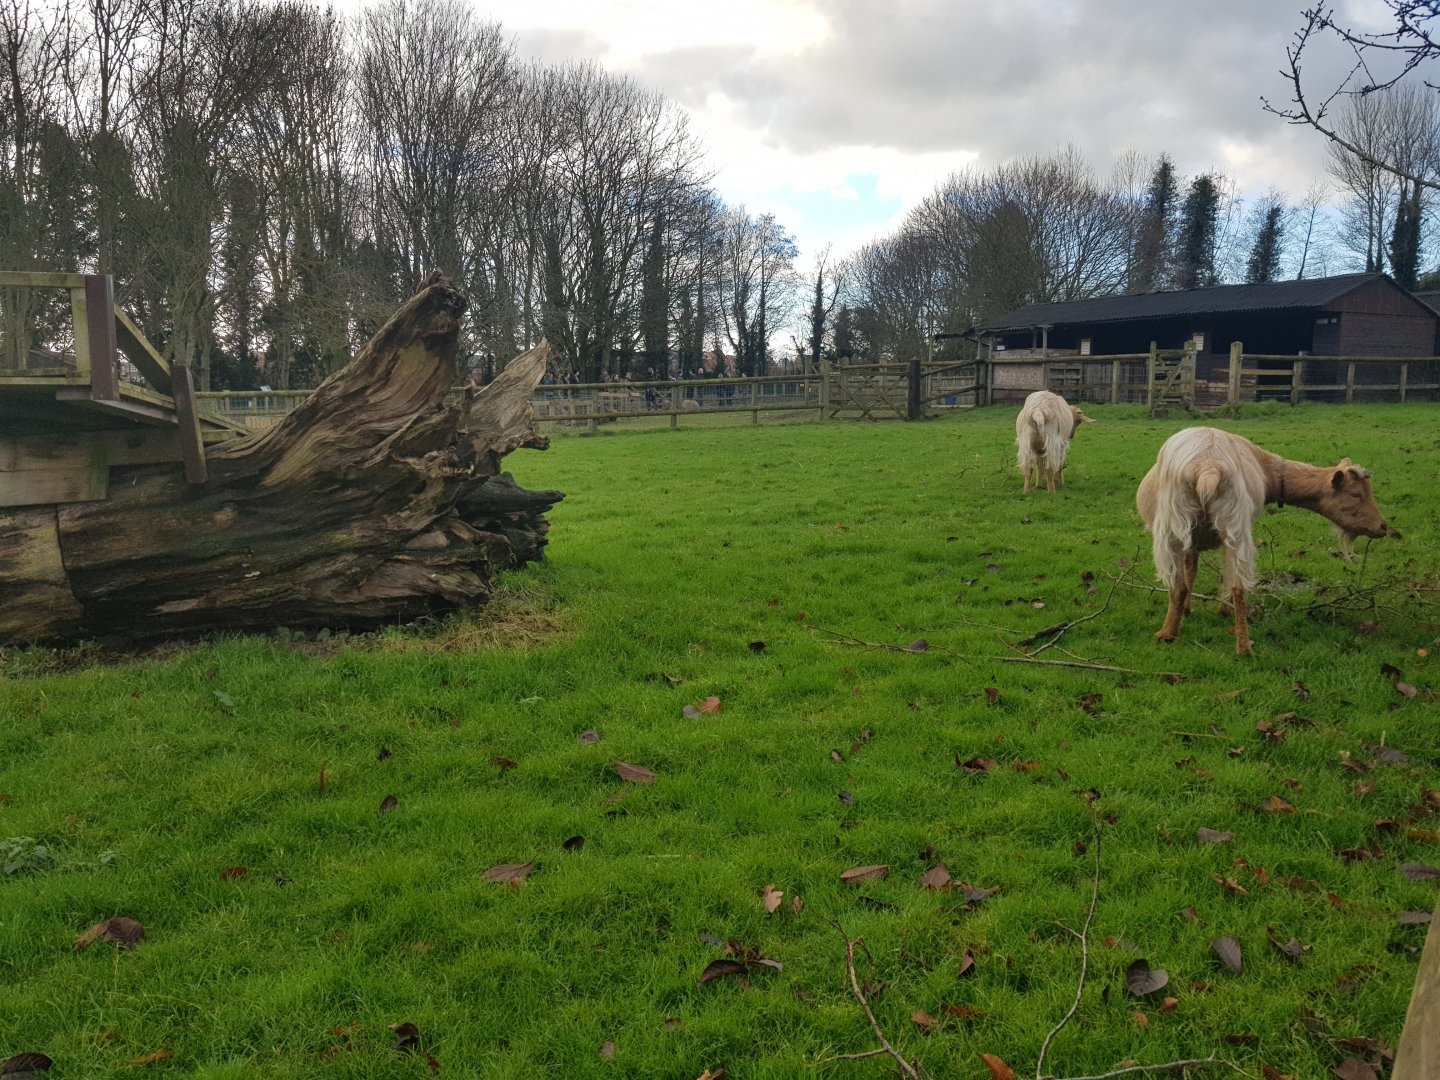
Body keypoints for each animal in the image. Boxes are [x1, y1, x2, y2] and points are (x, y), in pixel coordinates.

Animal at [1136, 426, 1397, 656]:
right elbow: (1196, 570)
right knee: (1236, 585)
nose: (1383, 527)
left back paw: (1169, 634)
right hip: (1231, 525)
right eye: (1356, 494)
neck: (1268, 471)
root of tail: (1209, 467)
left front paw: (1200, 610)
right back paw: (1241, 647)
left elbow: (1194, 572)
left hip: (1180, 526)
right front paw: (1198, 610)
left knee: (1181, 585)